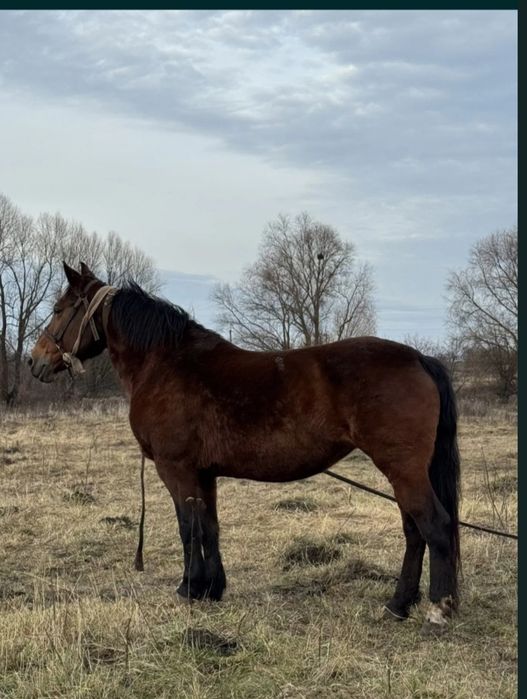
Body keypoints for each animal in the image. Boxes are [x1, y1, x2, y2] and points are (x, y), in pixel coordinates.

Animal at [29, 262, 460, 635]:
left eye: (58, 309)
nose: (35, 361)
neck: (164, 363)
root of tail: (417, 357)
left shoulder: (176, 469)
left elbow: (187, 528)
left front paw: (189, 588)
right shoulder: (204, 474)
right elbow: (209, 527)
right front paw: (212, 588)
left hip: (402, 469)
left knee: (434, 526)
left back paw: (438, 609)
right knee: (414, 531)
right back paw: (398, 605)